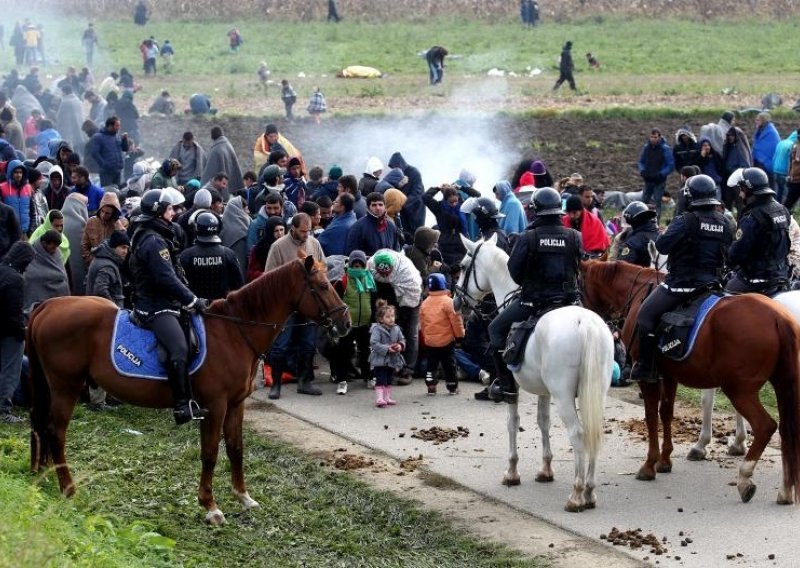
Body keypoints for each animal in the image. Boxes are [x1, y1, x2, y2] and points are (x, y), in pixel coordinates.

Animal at [26, 256, 350, 524]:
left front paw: (243, 496)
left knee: (42, 426)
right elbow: (210, 453)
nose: (345, 322)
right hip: (65, 386)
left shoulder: (236, 404)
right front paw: (210, 506)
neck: (233, 332)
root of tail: (49, 305)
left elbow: (236, 448)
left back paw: (43, 474)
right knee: (56, 432)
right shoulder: (215, 405)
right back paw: (68, 488)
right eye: (323, 286)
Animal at [454, 234, 616, 510]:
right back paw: (590, 491)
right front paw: (546, 469)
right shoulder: (544, 392)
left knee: (578, 434)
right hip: (596, 392)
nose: (455, 301)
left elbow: (513, 423)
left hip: (564, 396)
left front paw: (512, 472)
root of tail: (586, 324)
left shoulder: (515, 390)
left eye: (464, 266)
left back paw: (577, 494)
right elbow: (543, 422)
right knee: (594, 432)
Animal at [580, 260, 800, 504]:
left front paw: (650, 464)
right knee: (787, 431)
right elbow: (666, 412)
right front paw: (665, 460)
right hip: (780, 385)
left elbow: (652, 415)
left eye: (578, 284)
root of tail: (777, 317)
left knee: (765, 426)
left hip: (739, 389)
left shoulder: (649, 378)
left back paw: (744, 479)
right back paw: (785, 490)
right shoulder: (669, 375)